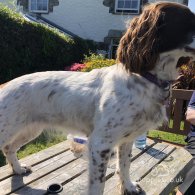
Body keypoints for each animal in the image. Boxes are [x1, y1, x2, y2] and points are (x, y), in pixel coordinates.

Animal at [0, 1, 195, 195]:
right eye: (188, 20)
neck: (145, 78)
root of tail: (4, 85)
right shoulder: (100, 144)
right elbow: (98, 184)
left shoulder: (127, 138)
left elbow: (124, 165)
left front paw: (129, 186)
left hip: (30, 129)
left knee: (9, 148)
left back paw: (18, 169)